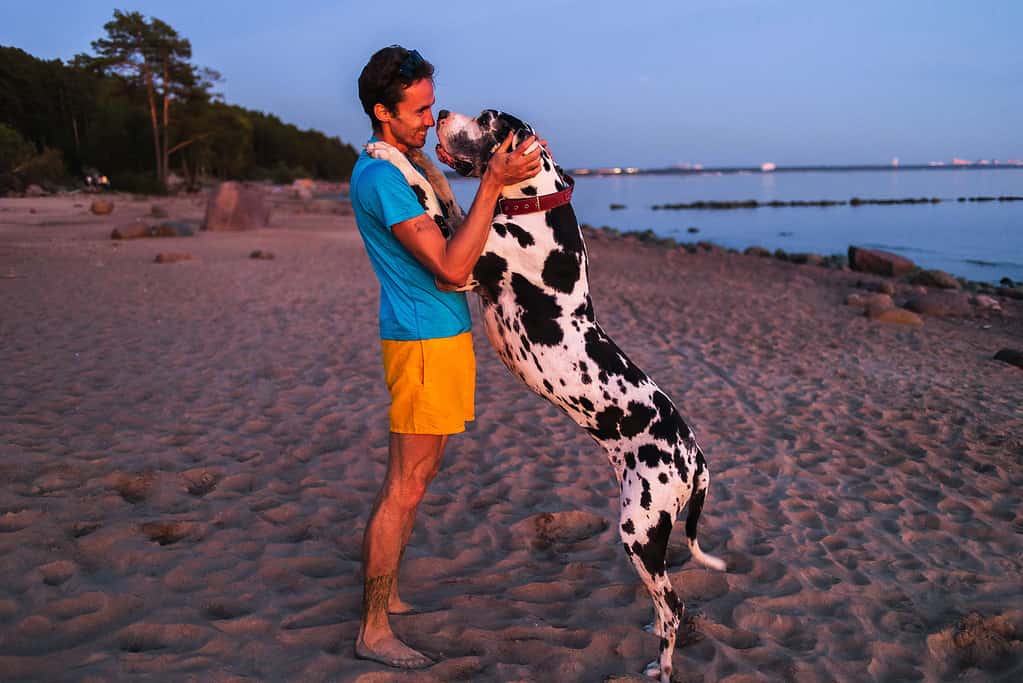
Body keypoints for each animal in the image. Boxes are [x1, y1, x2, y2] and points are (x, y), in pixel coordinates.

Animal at [364, 109, 724, 678]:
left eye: (487, 118)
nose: (440, 114)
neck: (536, 206)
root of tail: (698, 457)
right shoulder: (463, 232)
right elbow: (440, 186)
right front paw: (411, 153)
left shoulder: (457, 267)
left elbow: (426, 195)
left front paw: (387, 154)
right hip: (650, 531)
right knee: (663, 601)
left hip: (640, 529)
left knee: (675, 604)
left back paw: (662, 668)